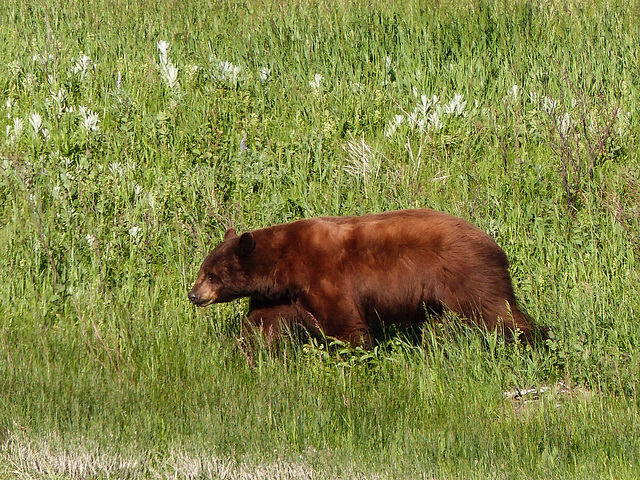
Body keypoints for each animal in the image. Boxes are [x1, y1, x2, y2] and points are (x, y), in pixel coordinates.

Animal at [188, 208, 548, 346]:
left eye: (211, 274)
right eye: (202, 270)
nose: (193, 295)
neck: (283, 263)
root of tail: (494, 244)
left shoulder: (324, 276)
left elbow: (343, 322)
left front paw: (356, 352)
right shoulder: (281, 295)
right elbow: (263, 322)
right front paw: (246, 350)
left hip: (465, 274)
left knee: (495, 311)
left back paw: (533, 341)